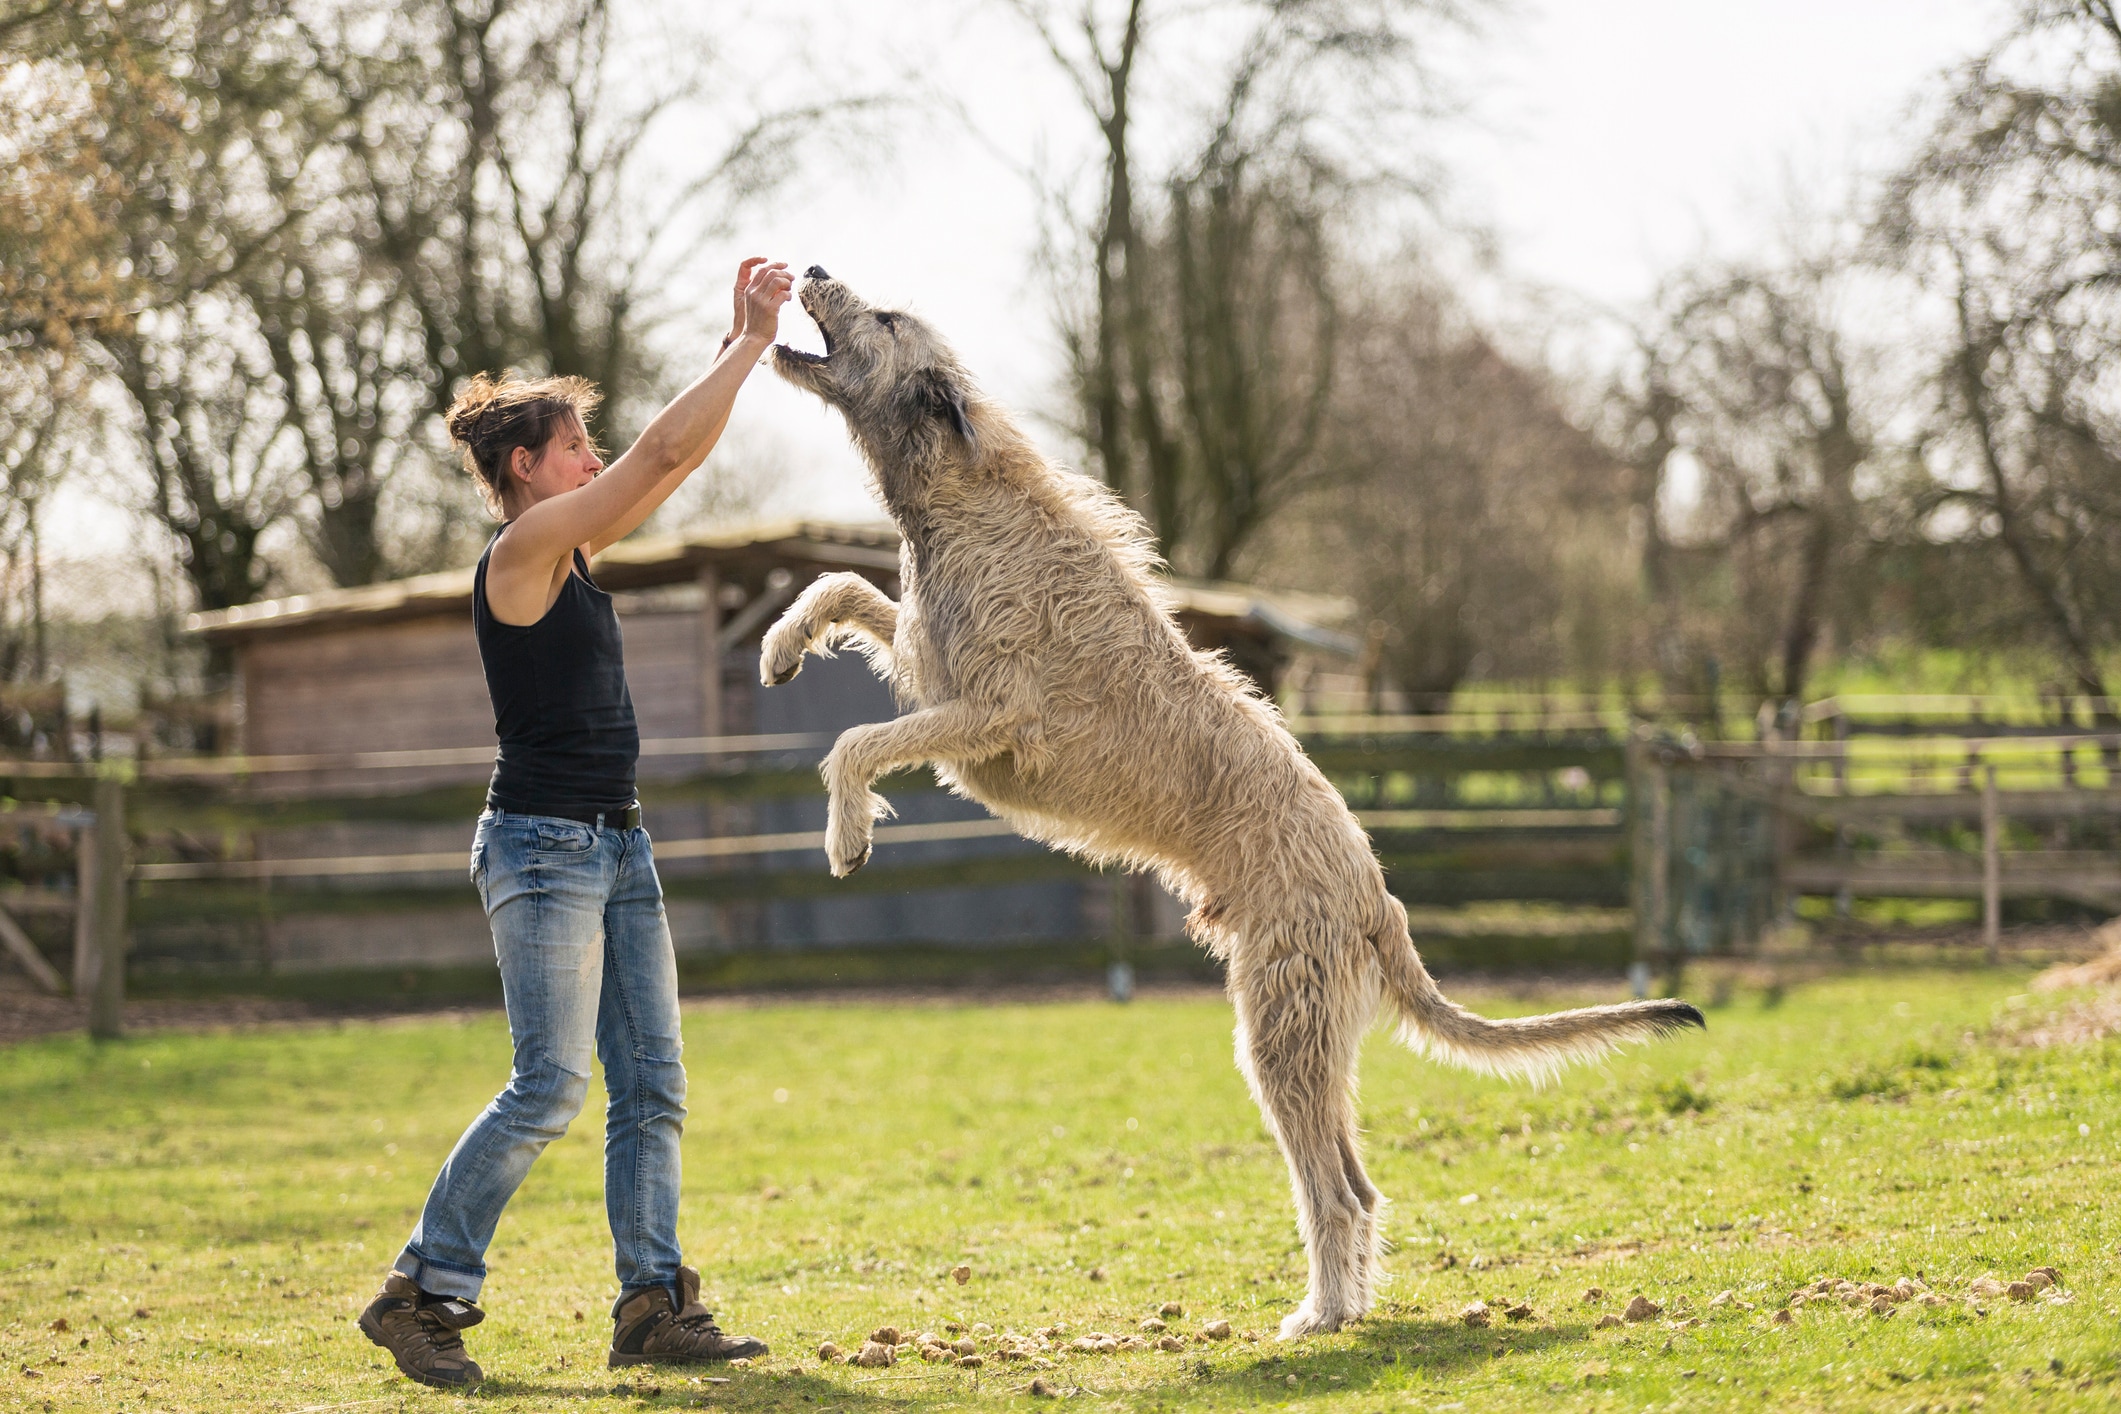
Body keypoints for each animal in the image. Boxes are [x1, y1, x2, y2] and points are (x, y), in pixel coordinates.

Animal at [763, 268, 1705, 1339]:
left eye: (882, 319)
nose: (812, 269)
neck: (961, 494)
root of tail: (1376, 896)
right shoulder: (930, 668)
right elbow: (845, 585)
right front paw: (782, 643)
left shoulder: (990, 716)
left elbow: (855, 741)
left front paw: (844, 832)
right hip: (1306, 1035)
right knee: (1360, 1187)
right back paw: (1342, 1304)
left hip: (1279, 1029)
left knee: (1334, 1192)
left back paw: (1321, 1315)